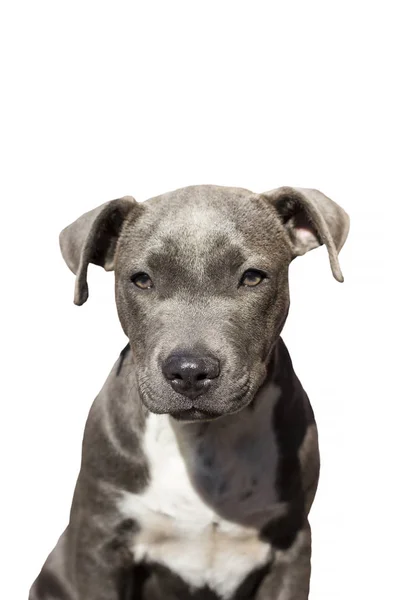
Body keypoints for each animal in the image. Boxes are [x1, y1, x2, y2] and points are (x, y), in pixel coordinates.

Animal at [29, 185, 350, 596]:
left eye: (252, 277)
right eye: (141, 279)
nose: (190, 370)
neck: (202, 435)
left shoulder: (290, 546)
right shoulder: (100, 542)